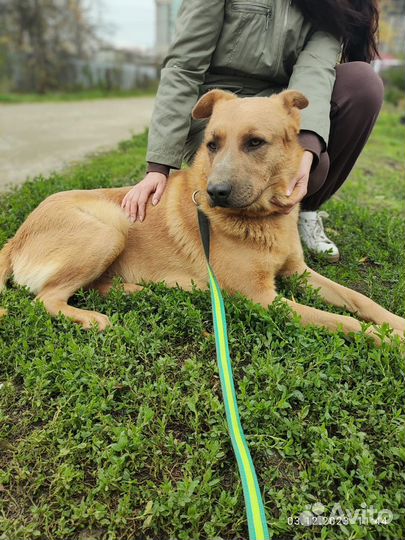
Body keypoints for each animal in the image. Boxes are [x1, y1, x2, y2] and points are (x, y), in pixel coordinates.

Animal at [0, 88, 404, 342]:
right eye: (212, 144)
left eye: (255, 142)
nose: (214, 194)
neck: (261, 219)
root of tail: (15, 237)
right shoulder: (261, 298)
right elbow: (342, 321)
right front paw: (384, 339)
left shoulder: (299, 272)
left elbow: (359, 300)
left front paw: (395, 324)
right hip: (110, 228)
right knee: (47, 299)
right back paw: (92, 318)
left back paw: (135, 289)